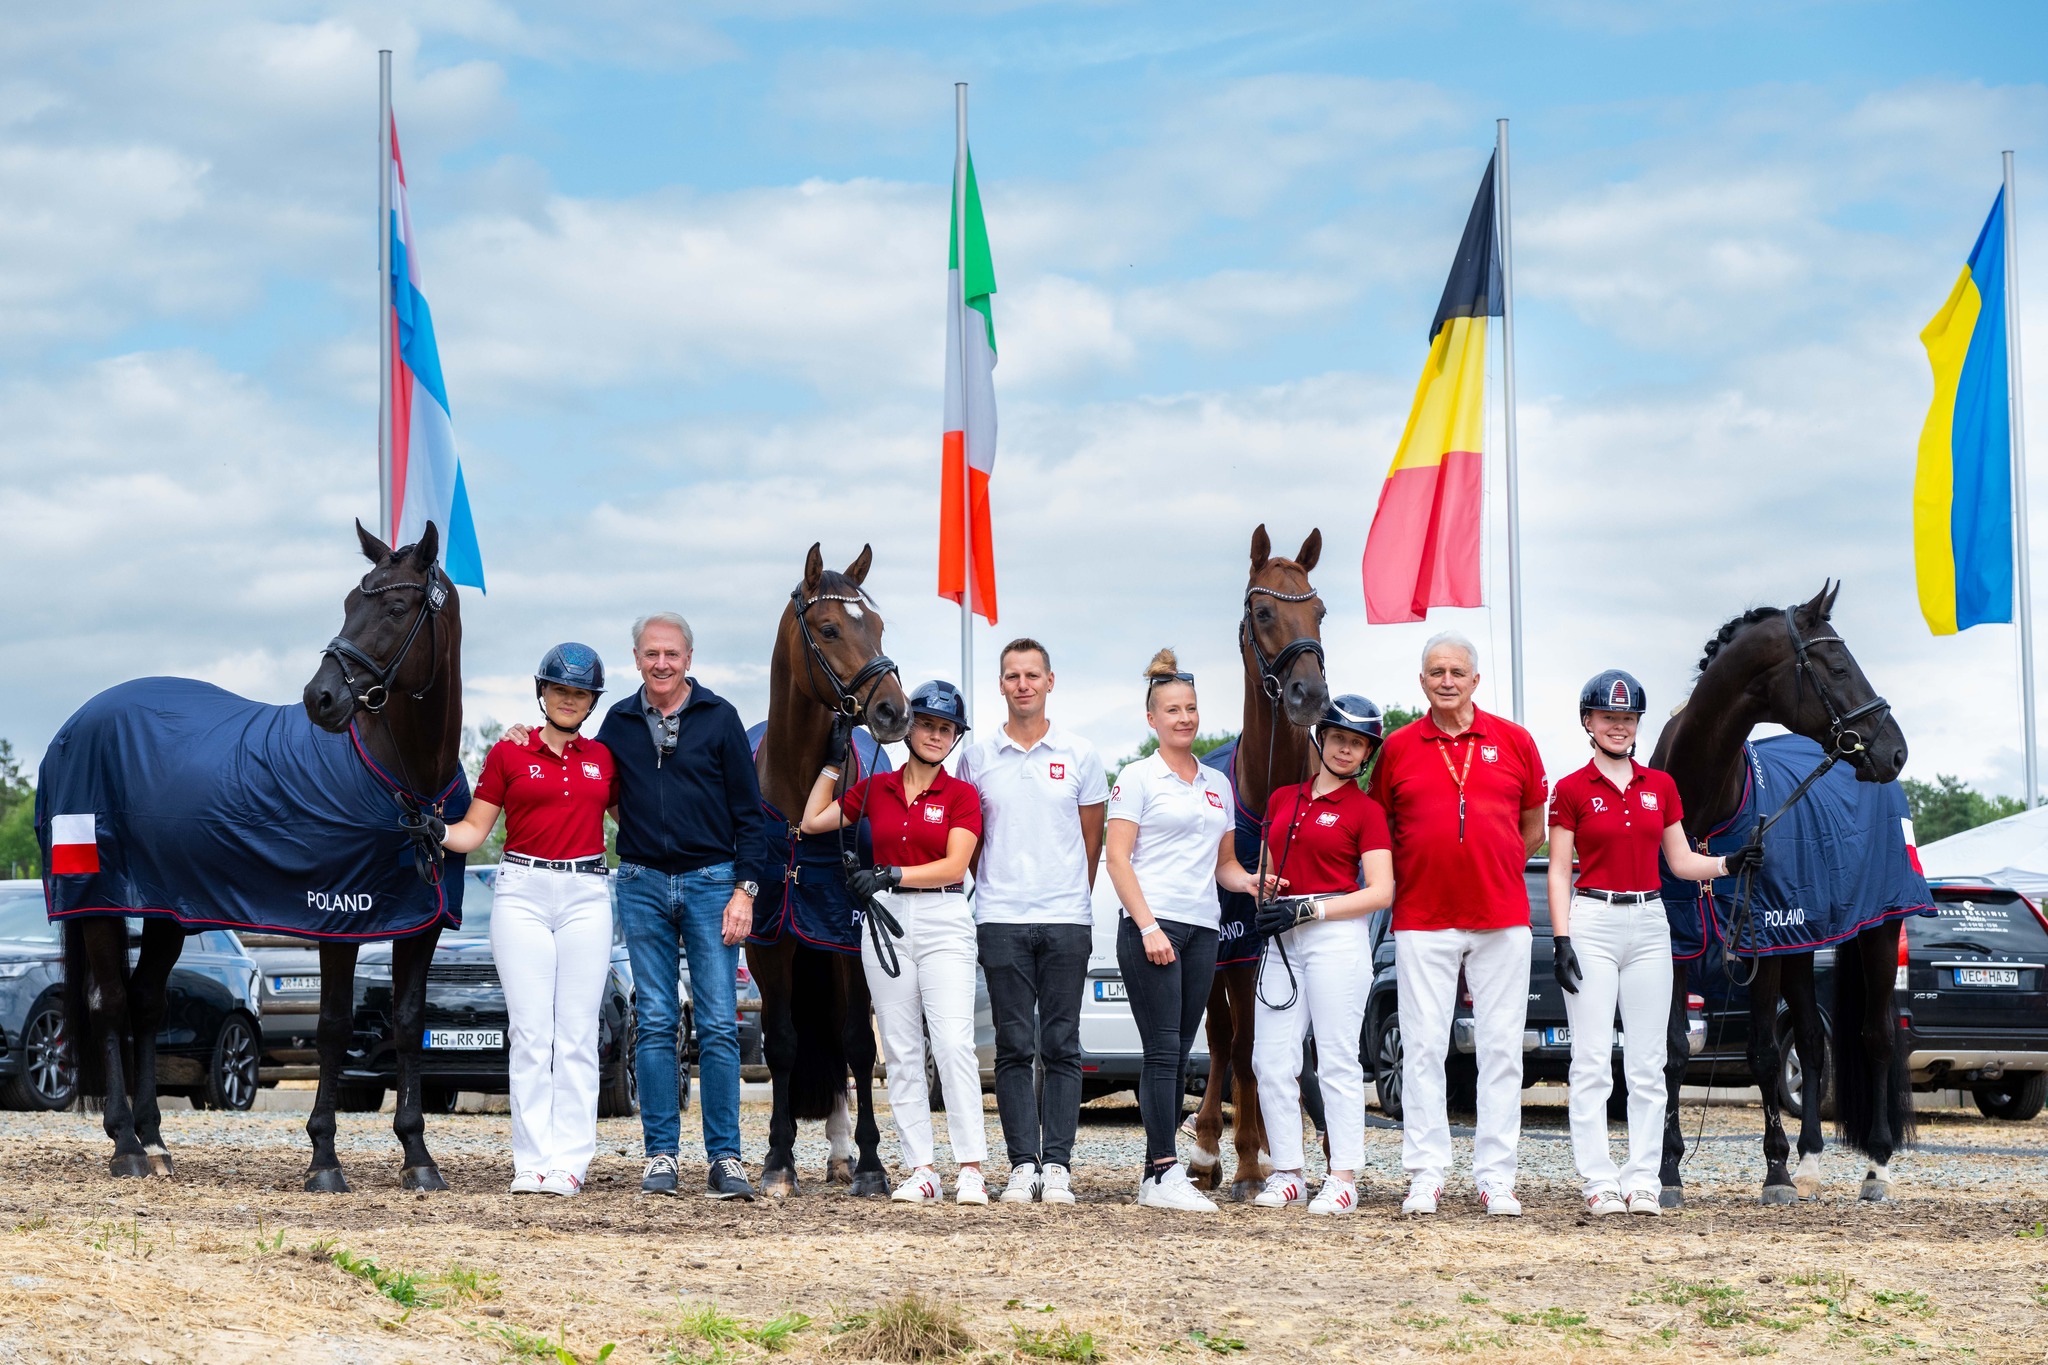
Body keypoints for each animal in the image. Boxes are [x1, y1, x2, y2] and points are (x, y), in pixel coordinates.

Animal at [40, 521, 466, 1190]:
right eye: (350, 601)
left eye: (396, 608)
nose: (320, 698)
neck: (402, 782)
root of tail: (74, 726)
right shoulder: (340, 917)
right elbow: (333, 1024)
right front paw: (324, 1159)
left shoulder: (419, 923)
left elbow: (407, 1024)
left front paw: (418, 1157)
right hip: (98, 903)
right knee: (109, 1005)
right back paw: (126, 1147)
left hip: (166, 911)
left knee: (145, 1003)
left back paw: (155, 1141)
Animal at [746, 543, 911, 1198]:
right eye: (829, 627)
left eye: (881, 625)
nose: (894, 711)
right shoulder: (769, 940)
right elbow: (784, 1046)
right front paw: (777, 1160)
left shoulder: (849, 935)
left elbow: (858, 1044)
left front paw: (869, 1164)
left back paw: (843, 1153)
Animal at [1652, 581, 1920, 1207]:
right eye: (1840, 667)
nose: (1895, 751)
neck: (1705, 809)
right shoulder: (1679, 942)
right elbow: (1675, 1052)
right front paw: (1669, 1170)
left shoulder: (1759, 940)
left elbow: (1765, 1055)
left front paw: (1774, 1170)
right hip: (1802, 942)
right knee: (1816, 1045)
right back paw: (1812, 1160)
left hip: (1878, 928)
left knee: (1876, 1038)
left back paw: (1877, 1166)